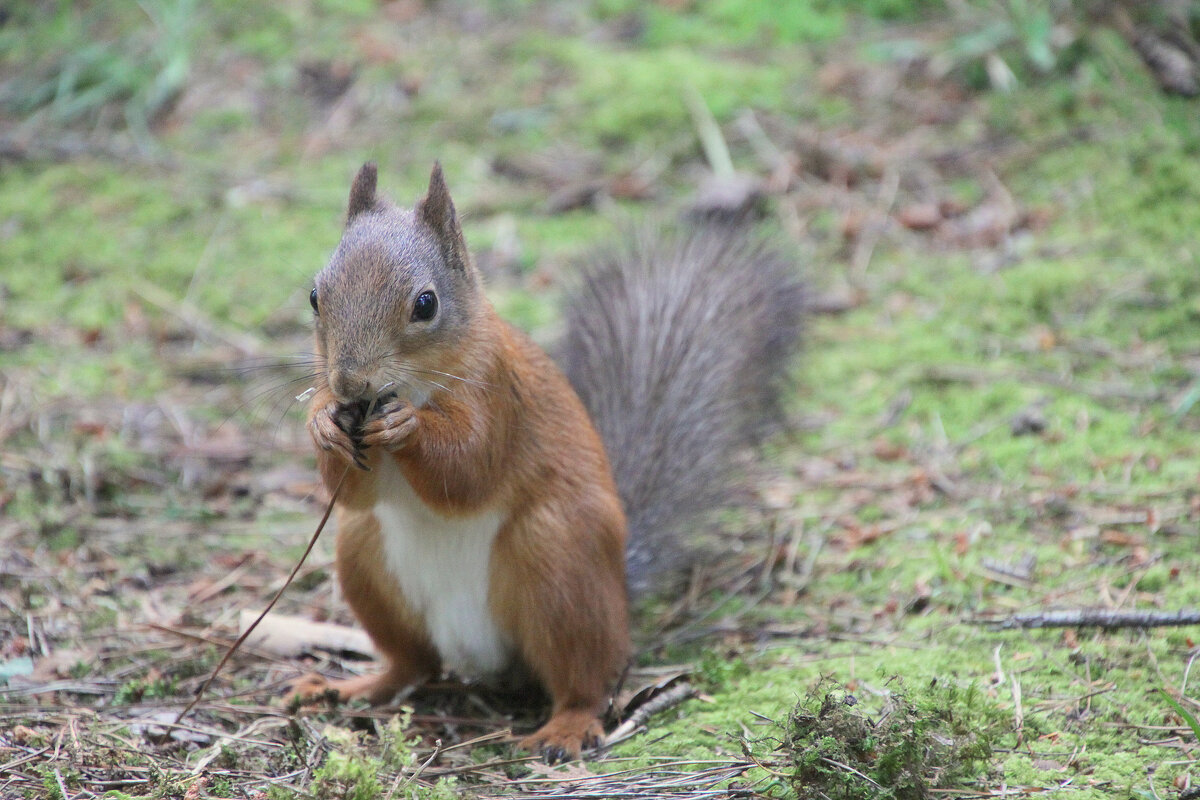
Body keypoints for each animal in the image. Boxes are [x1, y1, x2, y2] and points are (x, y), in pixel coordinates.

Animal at [297, 163, 806, 762]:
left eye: (425, 305)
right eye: (314, 296)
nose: (349, 383)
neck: (416, 386)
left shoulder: (499, 397)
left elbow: (468, 472)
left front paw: (410, 428)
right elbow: (356, 492)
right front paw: (322, 424)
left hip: (559, 562)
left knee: (584, 677)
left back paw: (566, 727)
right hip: (365, 559)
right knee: (412, 662)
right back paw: (349, 687)